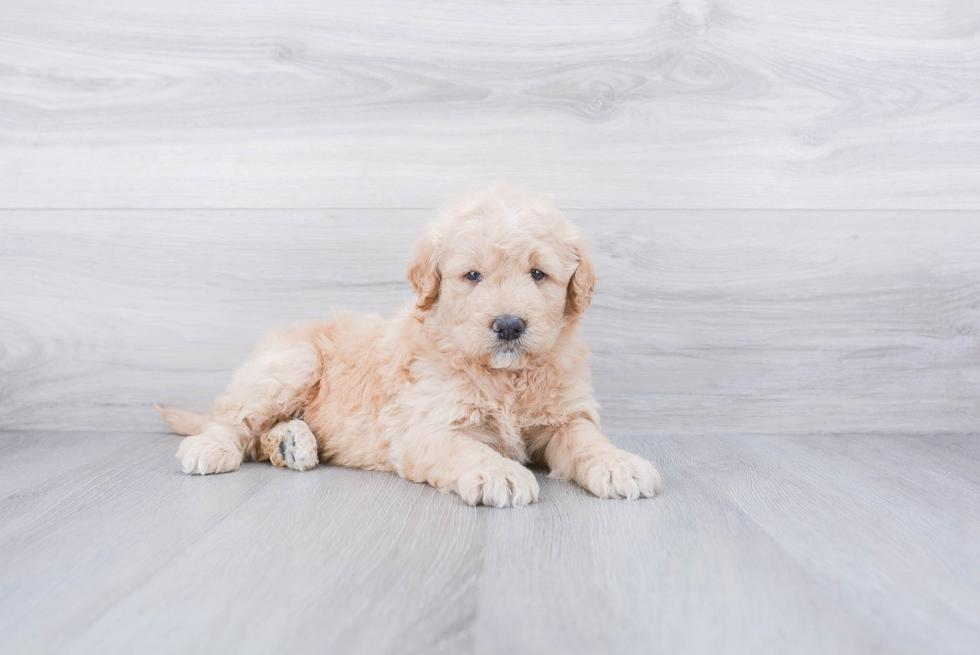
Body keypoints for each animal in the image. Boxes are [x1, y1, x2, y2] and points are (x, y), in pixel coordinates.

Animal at [157, 183, 664, 508]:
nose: (508, 326)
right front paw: (498, 472)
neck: (504, 376)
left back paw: (291, 443)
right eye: (472, 275)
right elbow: (465, 449)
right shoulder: (425, 427)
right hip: (293, 362)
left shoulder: (566, 416)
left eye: (538, 274)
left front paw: (619, 464)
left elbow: (586, 440)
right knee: (231, 420)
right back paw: (215, 448)